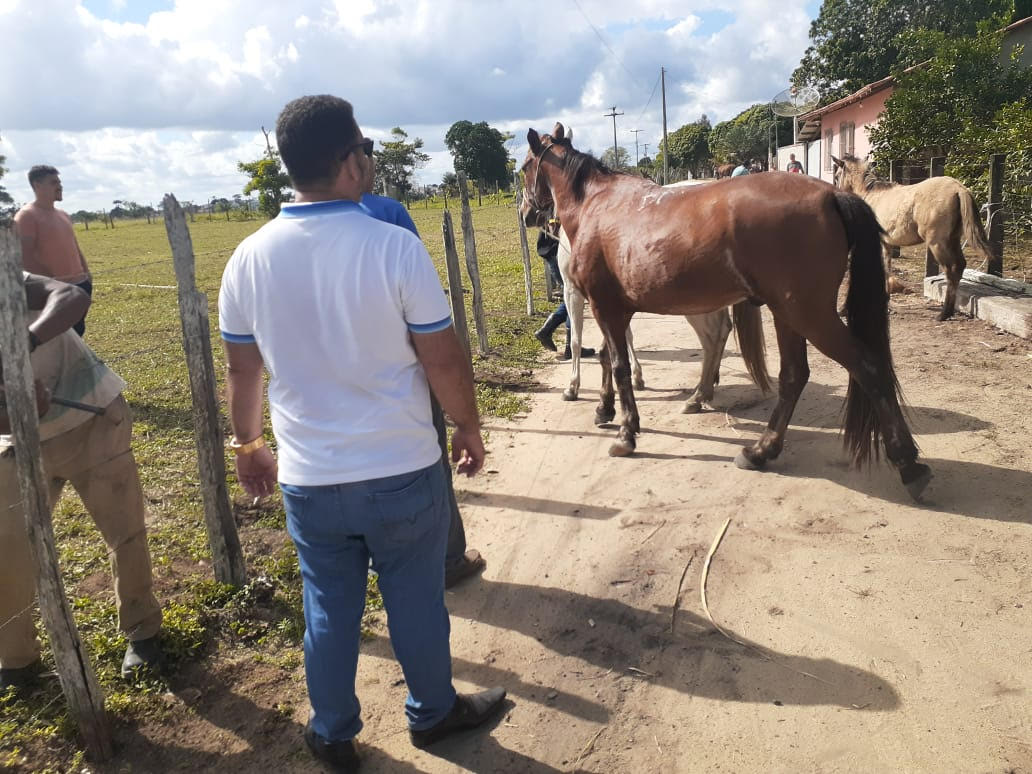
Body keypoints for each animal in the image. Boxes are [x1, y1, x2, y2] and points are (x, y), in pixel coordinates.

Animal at [524, 183, 767, 412]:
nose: (525, 215)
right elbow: (625, 337)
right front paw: (637, 377)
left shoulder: (573, 291)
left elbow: (576, 339)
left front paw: (573, 386)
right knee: (721, 330)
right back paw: (708, 384)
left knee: (714, 334)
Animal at [829, 154, 990, 321]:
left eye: (837, 176)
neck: (870, 194)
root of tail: (959, 188)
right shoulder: (886, 244)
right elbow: (886, 268)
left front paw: (844, 309)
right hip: (953, 240)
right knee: (960, 266)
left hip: (938, 243)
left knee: (951, 269)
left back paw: (943, 314)